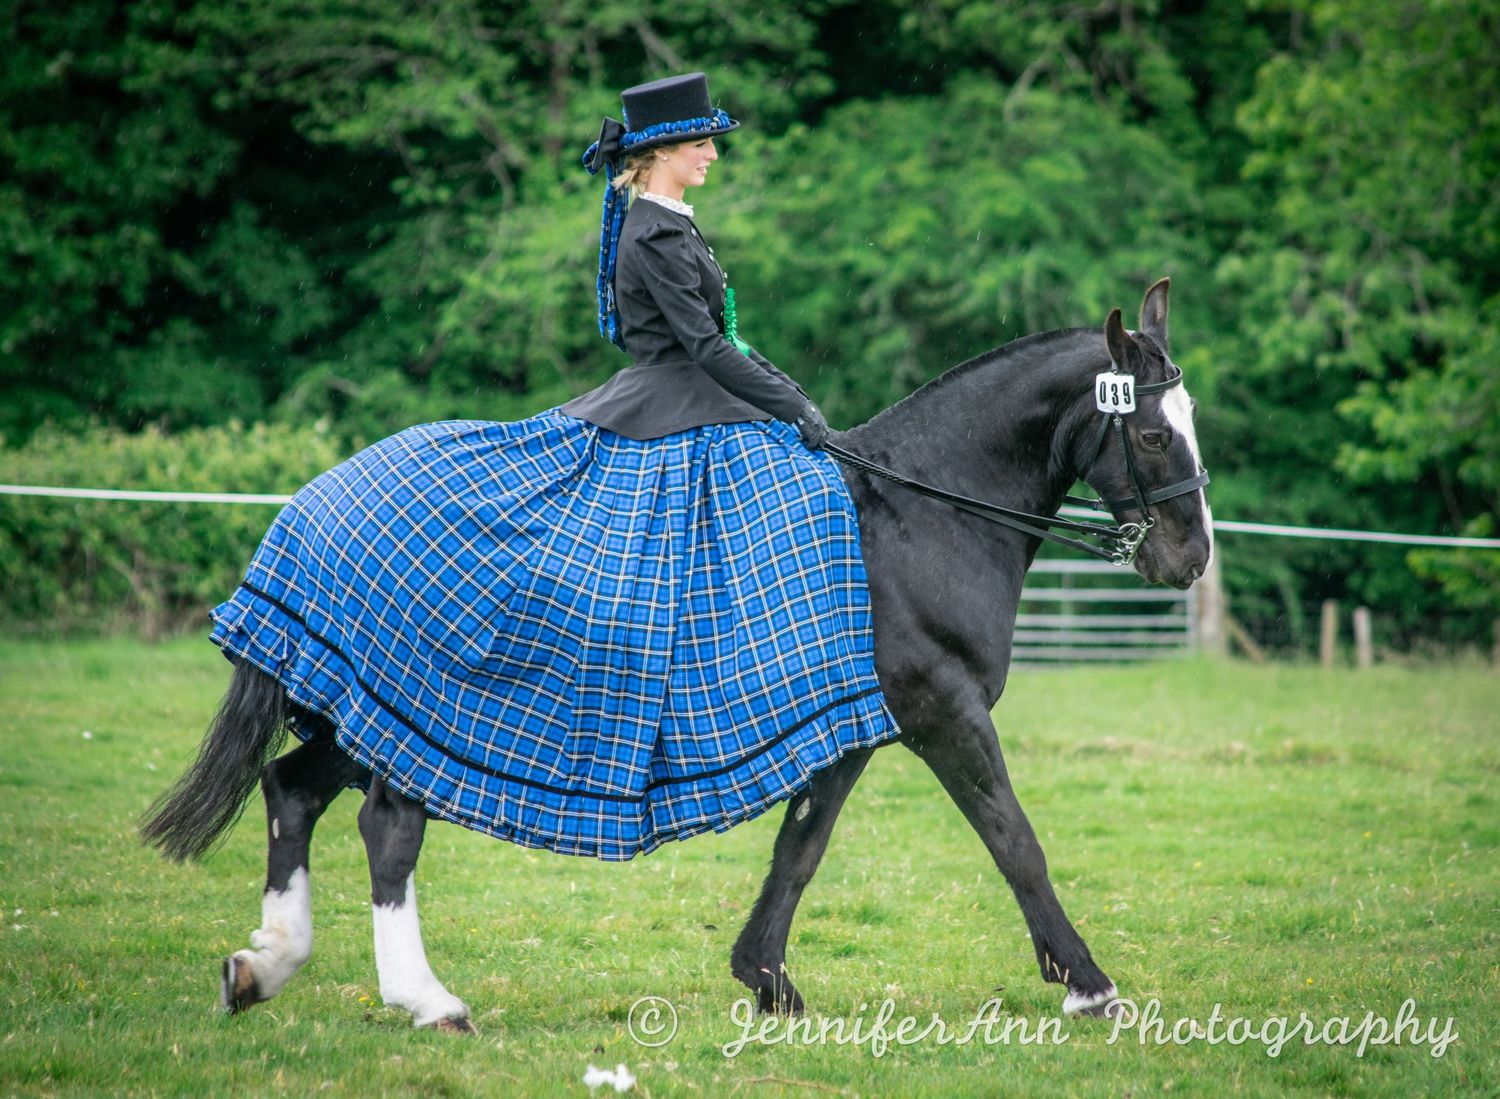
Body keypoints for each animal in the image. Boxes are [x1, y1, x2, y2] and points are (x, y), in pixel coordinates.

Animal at [142, 278, 1212, 1032]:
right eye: (1154, 435)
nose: (1190, 558)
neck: (921, 513)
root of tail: (315, 504)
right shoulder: (944, 711)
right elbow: (1012, 838)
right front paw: (1089, 985)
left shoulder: (851, 728)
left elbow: (802, 846)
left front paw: (768, 980)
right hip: (417, 705)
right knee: (386, 828)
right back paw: (429, 1001)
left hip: (361, 705)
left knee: (292, 791)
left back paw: (262, 967)